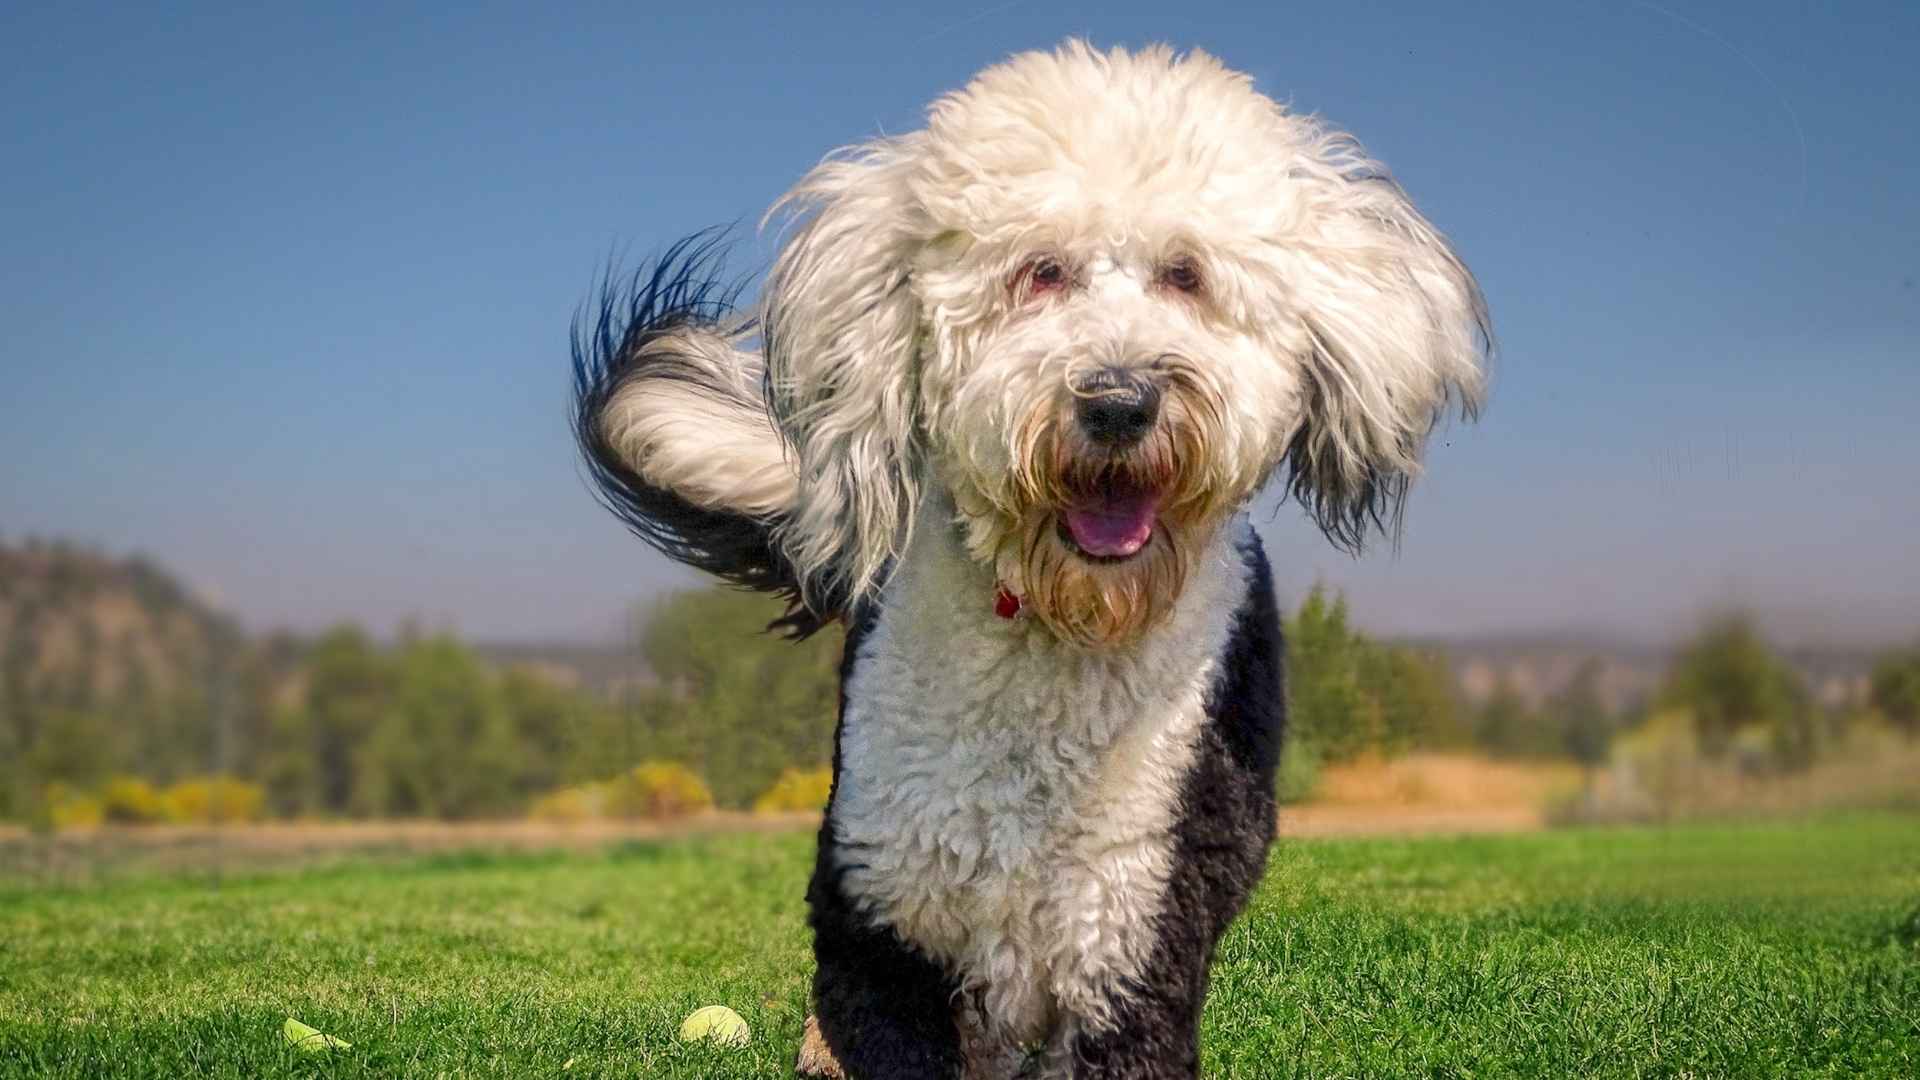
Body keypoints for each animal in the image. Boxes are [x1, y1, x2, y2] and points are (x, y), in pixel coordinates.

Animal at [568, 37, 1482, 1068]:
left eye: (1186, 275)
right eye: (1040, 271)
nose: (1120, 401)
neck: (1055, 633)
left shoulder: (1129, 941)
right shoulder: (885, 923)